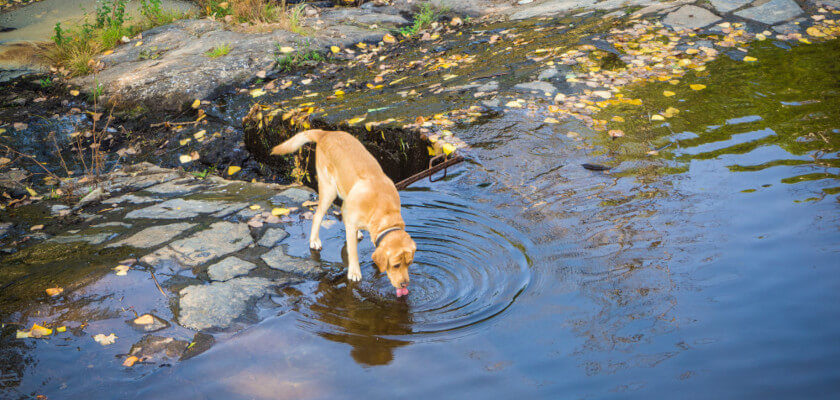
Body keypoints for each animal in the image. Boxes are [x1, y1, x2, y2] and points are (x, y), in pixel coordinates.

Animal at [272, 130, 416, 296]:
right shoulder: (352, 223)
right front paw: (354, 272)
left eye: (409, 263)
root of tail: (325, 133)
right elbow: (352, 251)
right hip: (329, 190)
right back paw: (314, 240)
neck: (384, 209)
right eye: (396, 265)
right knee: (317, 216)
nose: (405, 284)